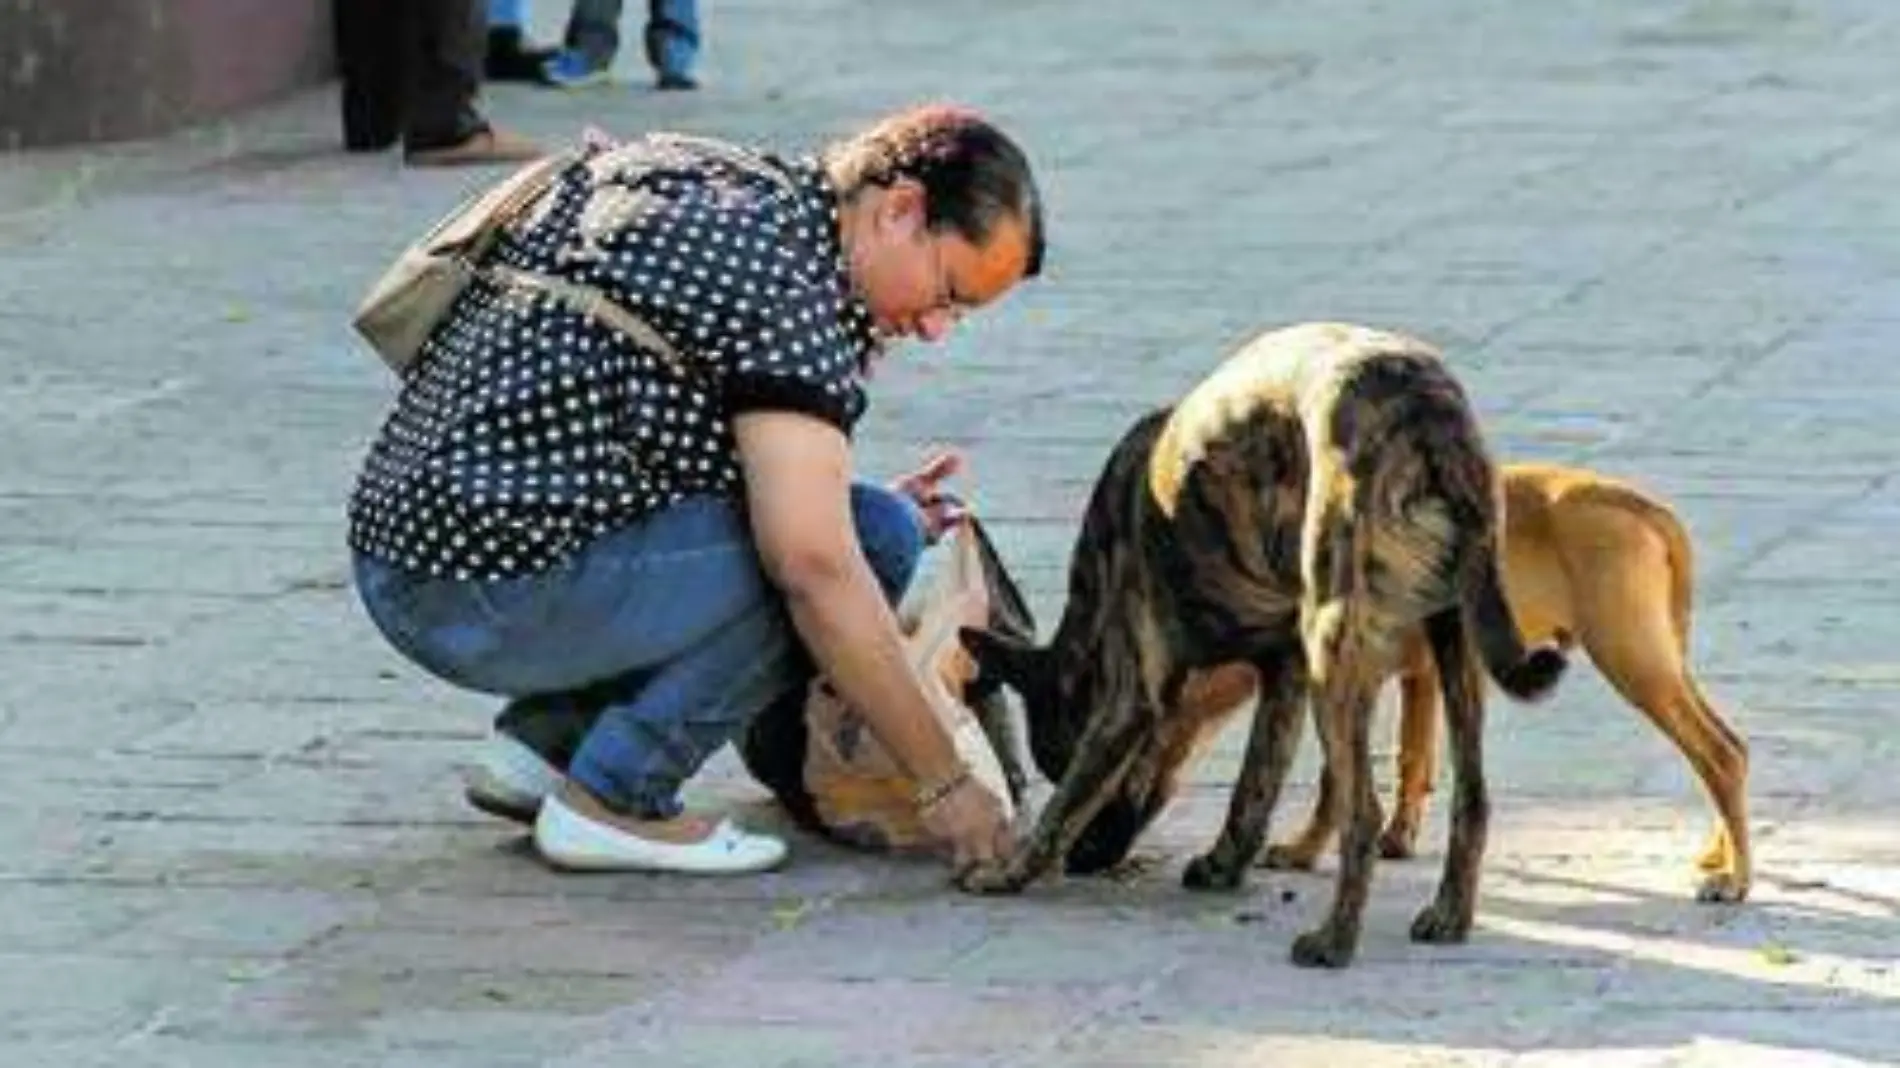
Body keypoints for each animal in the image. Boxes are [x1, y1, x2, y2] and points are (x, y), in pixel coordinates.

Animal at [957, 317, 1565, 965]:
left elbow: (1062, 807)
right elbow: (1257, 780)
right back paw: (1450, 914)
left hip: (1335, 639)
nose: (1086, 862)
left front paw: (1009, 872)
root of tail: (1425, 412)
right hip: (1453, 634)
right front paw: (1226, 863)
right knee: (1472, 797)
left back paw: (1334, 940)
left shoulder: (1131, 693)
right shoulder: (1287, 668)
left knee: (1362, 814)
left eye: (1058, 759)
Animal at [1261, 461, 1748, 900]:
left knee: (1719, 755)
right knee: (1731, 748)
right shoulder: (1421, 677)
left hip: (1633, 662)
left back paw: (1736, 879)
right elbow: (1412, 757)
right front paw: (1398, 838)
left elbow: (1335, 780)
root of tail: (1644, 507)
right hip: (1660, 661)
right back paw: (1722, 856)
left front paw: (1304, 850)